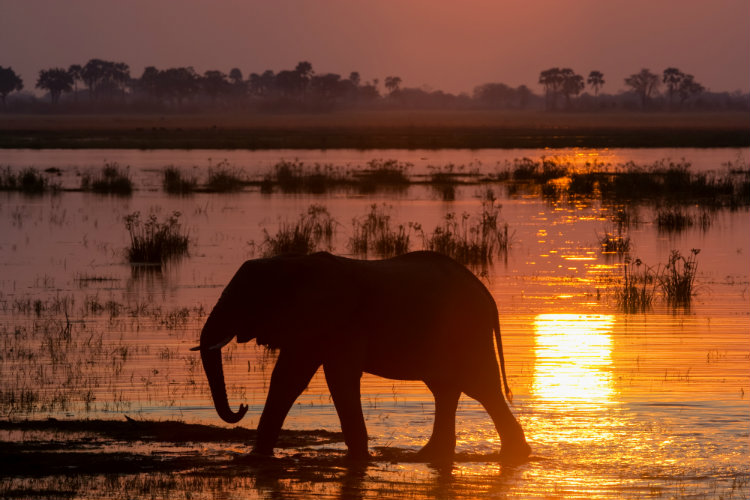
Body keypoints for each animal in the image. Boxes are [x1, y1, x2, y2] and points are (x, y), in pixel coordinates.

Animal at [194, 252, 536, 462]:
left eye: (244, 298)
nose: (242, 406)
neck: (294, 262)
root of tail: (484, 291)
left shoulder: (341, 321)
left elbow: (338, 377)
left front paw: (359, 460)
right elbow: (288, 378)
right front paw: (255, 458)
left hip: (466, 330)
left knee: (481, 388)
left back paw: (515, 455)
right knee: (447, 389)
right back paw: (429, 456)